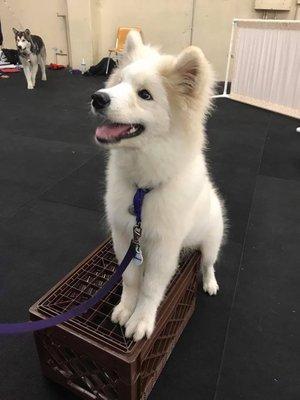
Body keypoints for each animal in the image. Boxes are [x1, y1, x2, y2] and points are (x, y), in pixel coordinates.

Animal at [91, 32, 225, 342]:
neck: (142, 188)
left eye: (145, 95)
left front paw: (141, 321)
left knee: (208, 263)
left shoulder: (165, 245)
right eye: (119, 83)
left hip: (212, 241)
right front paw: (125, 309)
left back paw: (210, 283)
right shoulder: (124, 235)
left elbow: (151, 288)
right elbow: (130, 278)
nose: (98, 98)